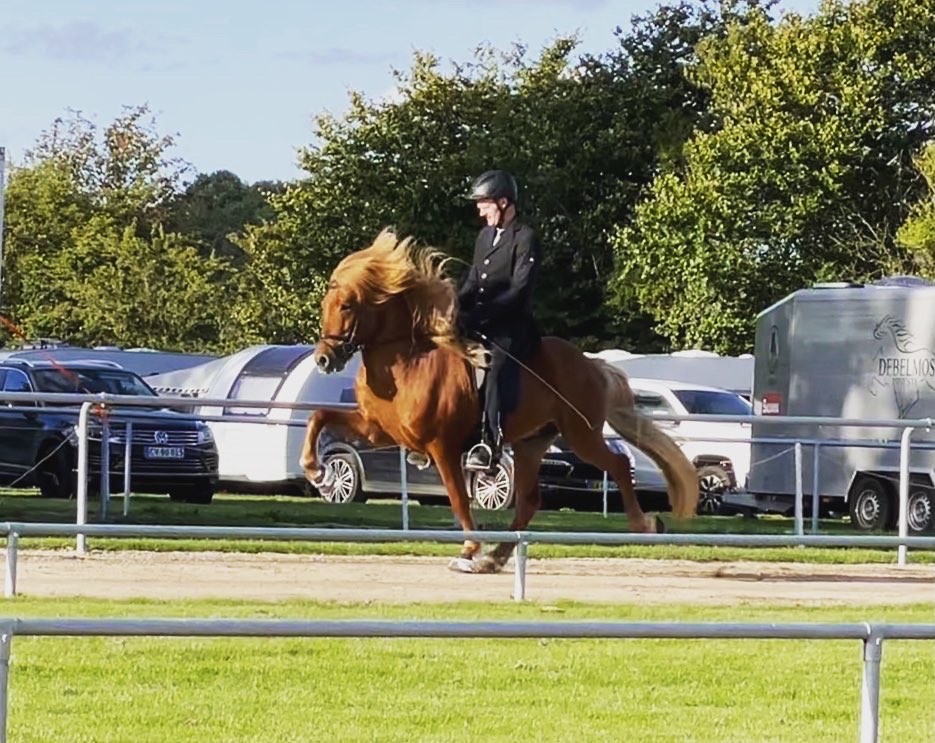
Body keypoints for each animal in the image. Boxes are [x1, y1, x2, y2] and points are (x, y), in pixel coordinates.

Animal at [298, 230, 696, 572]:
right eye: (326, 304)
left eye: (347, 306)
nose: (324, 360)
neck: (406, 364)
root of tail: (591, 365)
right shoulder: (380, 431)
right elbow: (320, 415)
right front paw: (316, 471)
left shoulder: (443, 446)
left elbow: (458, 499)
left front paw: (468, 550)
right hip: (532, 442)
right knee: (531, 499)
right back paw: (497, 557)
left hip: (581, 435)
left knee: (617, 465)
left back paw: (644, 525)